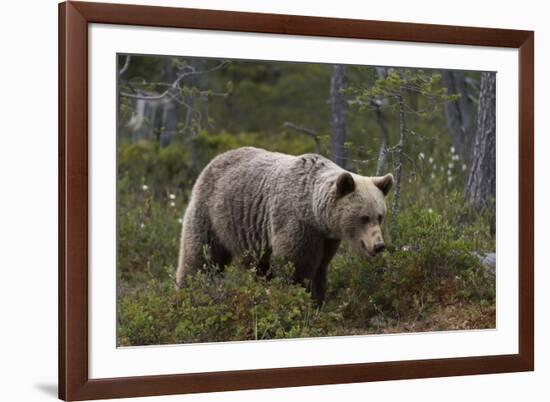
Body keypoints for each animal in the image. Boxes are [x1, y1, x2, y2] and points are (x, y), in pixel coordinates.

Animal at [175, 147, 394, 304]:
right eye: (363, 217)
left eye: (380, 216)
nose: (378, 245)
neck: (315, 213)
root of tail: (215, 159)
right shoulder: (296, 223)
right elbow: (295, 266)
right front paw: (295, 298)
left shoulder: (326, 238)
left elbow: (319, 269)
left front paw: (317, 301)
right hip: (211, 212)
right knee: (202, 257)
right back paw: (188, 294)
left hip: (251, 235)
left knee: (258, 267)